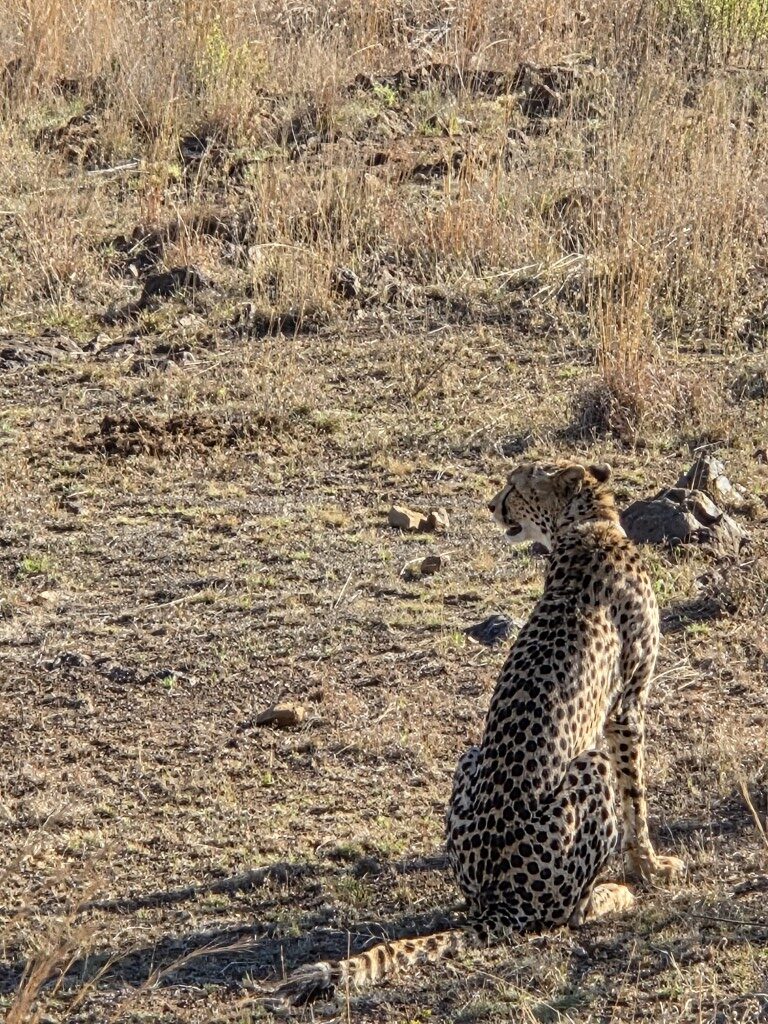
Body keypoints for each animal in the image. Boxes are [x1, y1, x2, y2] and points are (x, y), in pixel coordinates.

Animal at [269, 460, 684, 1009]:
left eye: (514, 487)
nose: (491, 506)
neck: (588, 526)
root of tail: (498, 903)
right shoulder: (626, 707)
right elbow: (637, 801)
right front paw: (651, 869)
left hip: (469, 758)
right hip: (587, 772)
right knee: (566, 915)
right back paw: (612, 894)